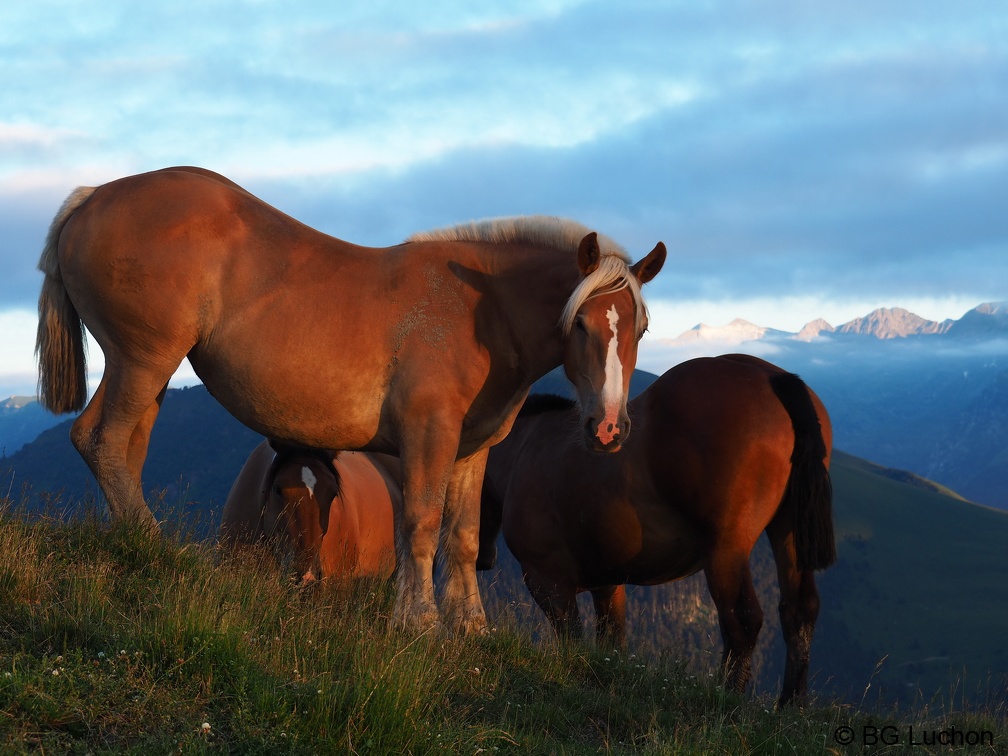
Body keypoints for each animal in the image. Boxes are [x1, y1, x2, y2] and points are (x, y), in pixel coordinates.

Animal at [477, 354, 834, 709]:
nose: (483, 559)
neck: (525, 450)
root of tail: (773, 377)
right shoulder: (608, 586)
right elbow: (611, 645)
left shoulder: (548, 583)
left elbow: (572, 642)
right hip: (788, 534)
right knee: (799, 611)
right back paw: (791, 704)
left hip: (726, 550)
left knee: (743, 620)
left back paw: (726, 697)